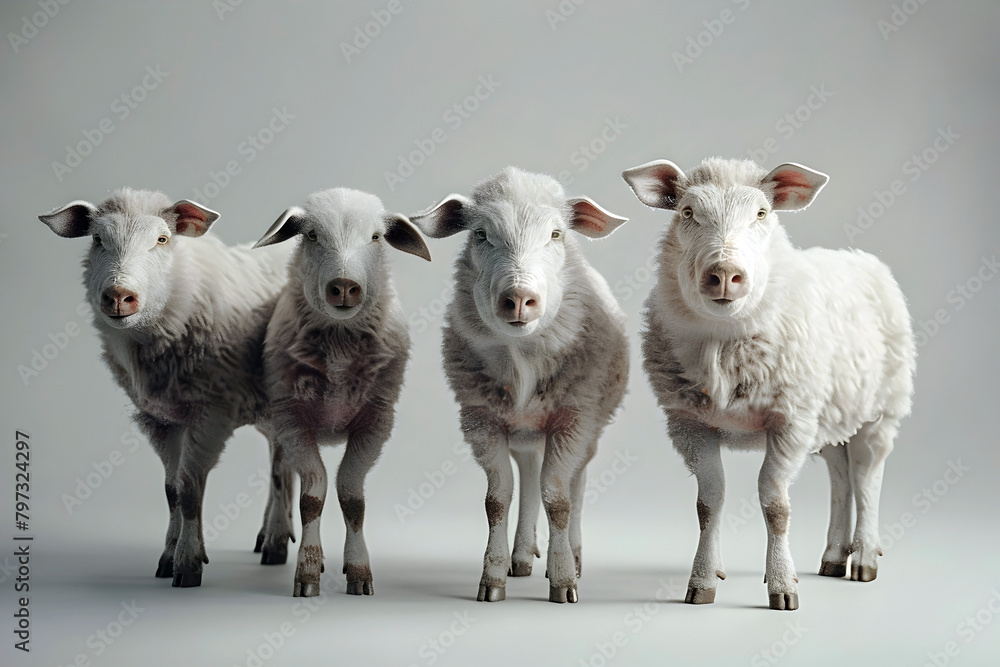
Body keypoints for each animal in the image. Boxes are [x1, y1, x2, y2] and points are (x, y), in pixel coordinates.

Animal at [38, 189, 294, 587]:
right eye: (97, 239)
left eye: (162, 239)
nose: (118, 296)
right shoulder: (160, 418)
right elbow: (172, 491)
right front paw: (168, 557)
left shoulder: (211, 412)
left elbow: (190, 490)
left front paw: (187, 564)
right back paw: (268, 537)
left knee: (281, 471)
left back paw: (276, 544)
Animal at [253, 188, 431, 597]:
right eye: (312, 235)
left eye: (376, 237)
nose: (346, 286)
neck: (339, 346)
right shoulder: (292, 419)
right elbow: (311, 496)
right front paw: (307, 572)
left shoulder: (376, 422)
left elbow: (352, 497)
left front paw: (359, 572)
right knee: (279, 474)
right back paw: (274, 537)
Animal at [411, 167, 630, 604]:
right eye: (480, 234)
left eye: (557, 234)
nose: (518, 298)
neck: (522, 359)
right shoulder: (481, 421)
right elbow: (497, 500)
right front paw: (492, 579)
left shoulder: (573, 420)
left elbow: (559, 499)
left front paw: (563, 580)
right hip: (525, 431)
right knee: (529, 476)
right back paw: (523, 556)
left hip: (588, 427)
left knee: (575, 484)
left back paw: (573, 555)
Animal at [621, 157, 916, 610]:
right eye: (687, 212)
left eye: (761, 213)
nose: (725, 274)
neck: (723, 344)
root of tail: (865, 261)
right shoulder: (690, 423)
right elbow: (709, 502)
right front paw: (703, 581)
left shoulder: (789, 422)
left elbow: (775, 505)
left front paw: (782, 585)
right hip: (829, 415)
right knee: (841, 475)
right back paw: (834, 557)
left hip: (880, 409)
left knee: (868, 478)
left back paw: (864, 557)